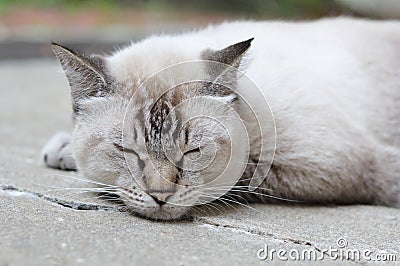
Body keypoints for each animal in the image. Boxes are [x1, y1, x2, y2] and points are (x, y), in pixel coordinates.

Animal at [41, 17, 400, 220]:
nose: (160, 196)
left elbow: (246, 175)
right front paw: (64, 149)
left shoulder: (325, 164)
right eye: (127, 152)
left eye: (193, 152)